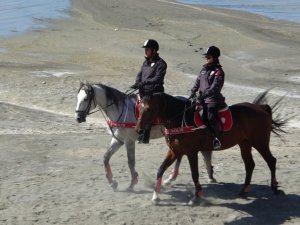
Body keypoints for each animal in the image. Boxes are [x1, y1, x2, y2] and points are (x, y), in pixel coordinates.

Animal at [75, 81, 216, 191]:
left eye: (85, 99)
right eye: (77, 98)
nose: (78, 117)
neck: (121, 110)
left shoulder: (129, 141)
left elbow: (131, 162)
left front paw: (132, 183)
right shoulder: (118, 140)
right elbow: (105, 158)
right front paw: (112, 182)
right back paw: (171, 178)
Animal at [137, 90, 288, 205]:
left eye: (149, 109)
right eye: (139, 108)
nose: (139, 129)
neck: (180, 119)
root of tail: (261, 108)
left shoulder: (191, 152)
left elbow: (195, 174)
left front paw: (197, 196)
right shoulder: (174, 151)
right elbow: (160, 169)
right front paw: (155, 196)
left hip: (260, 142)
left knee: (271, 161)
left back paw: (275, 188)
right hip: (245, 144)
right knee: (250, 165)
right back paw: (244, 191)